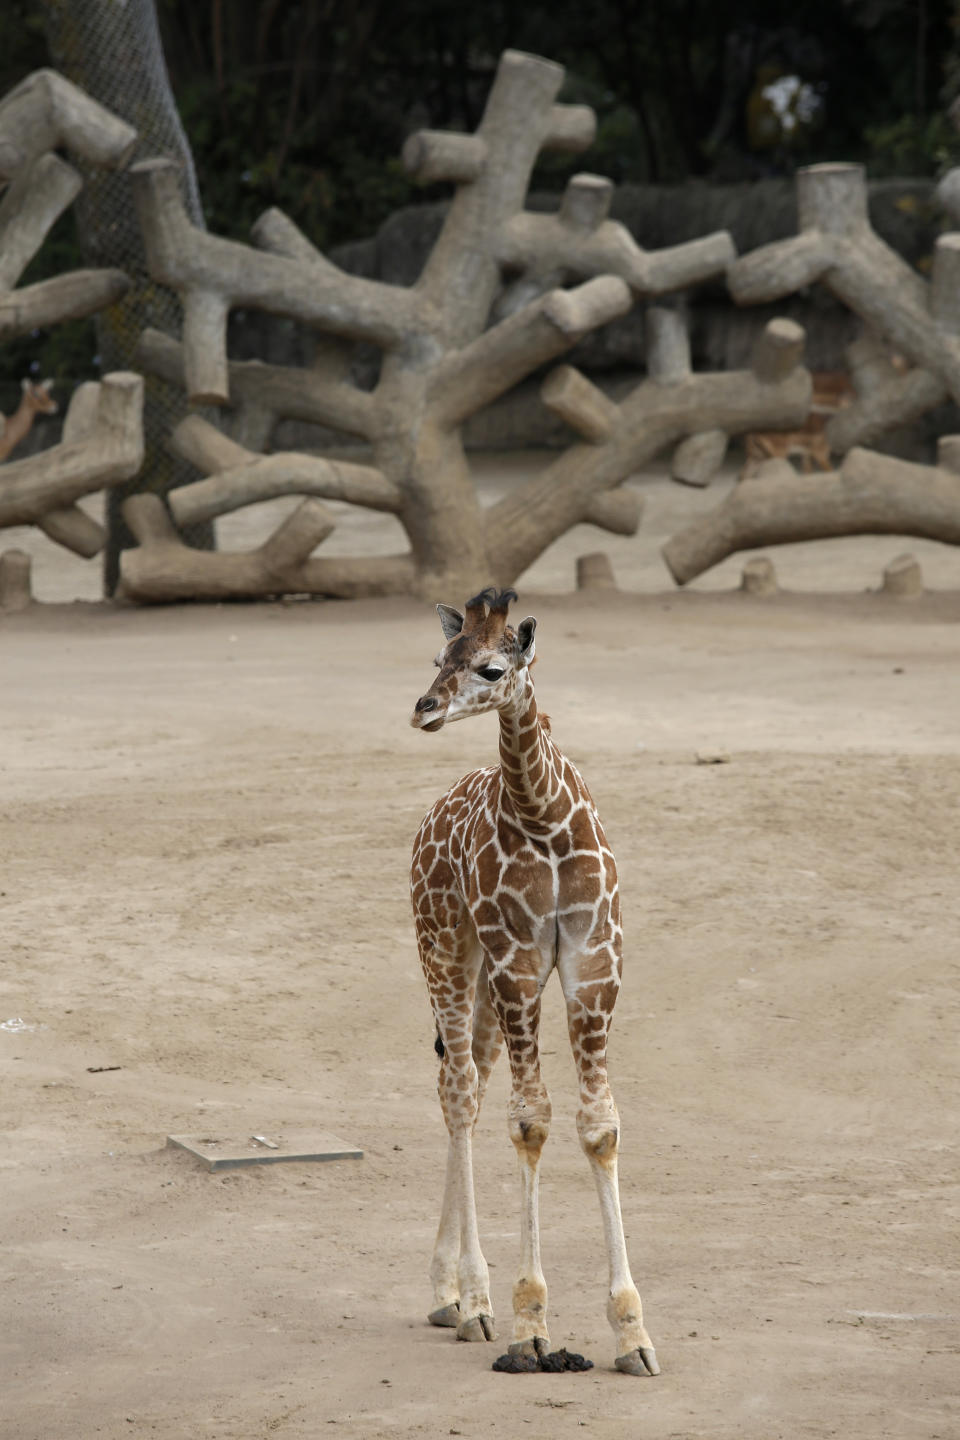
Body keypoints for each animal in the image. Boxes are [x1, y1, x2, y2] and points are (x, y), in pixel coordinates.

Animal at [408, 584, 656, 1370]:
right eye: (439, 656)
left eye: (492, 668)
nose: (424, 707)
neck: (542, 814)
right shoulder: (518, 961)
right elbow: (530, 1121)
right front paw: (529, 1324)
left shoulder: (594, 963)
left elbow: (599, 1127)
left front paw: (633, 1333)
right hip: (447, 948)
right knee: (458, 1091)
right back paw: (470, 1301)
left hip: (486, 982)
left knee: (466, 1082)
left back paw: (451, 1294)